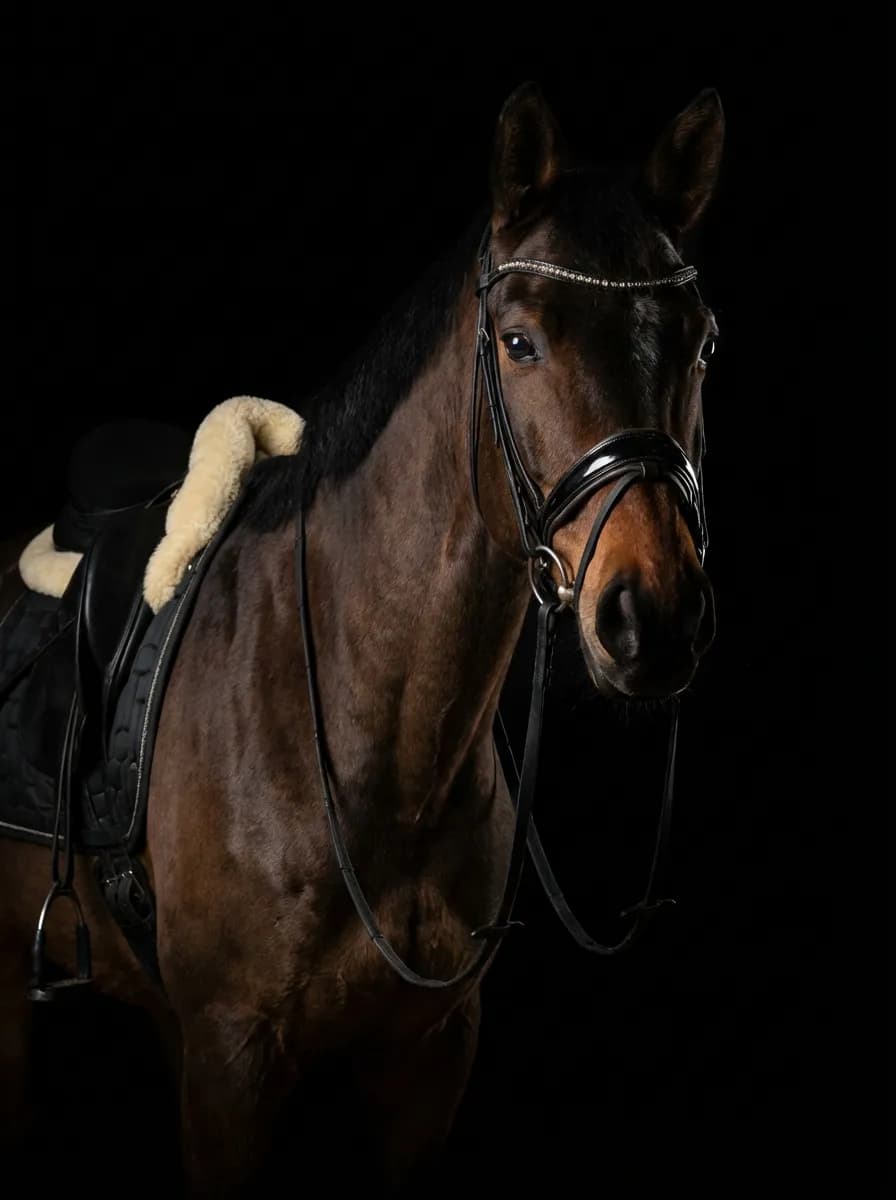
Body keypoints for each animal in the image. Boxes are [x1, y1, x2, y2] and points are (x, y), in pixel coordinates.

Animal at [0, 82, 723, 1194]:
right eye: (520, 341)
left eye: (700, 342)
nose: (653, 616)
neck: (371, 743)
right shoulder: (231, 1065)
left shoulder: (426, 1060)